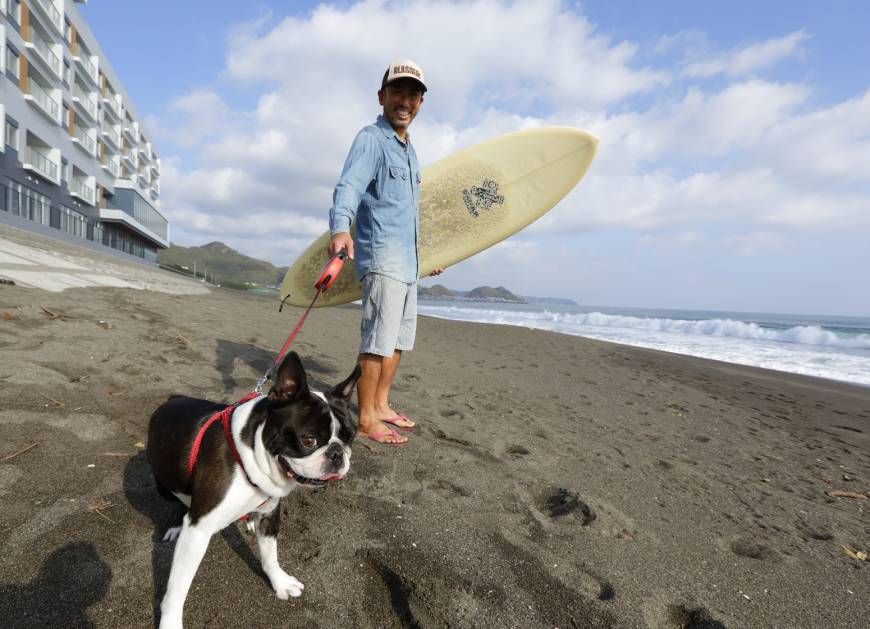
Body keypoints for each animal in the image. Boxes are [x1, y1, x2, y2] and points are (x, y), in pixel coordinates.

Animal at [148, 350, 360, 624]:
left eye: (351, 437)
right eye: (308, 440)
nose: (337, 454)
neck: (255, 451)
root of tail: (173, 399)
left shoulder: (270, 514)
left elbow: (270, 555)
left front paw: (279, 582)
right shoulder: (198, 530)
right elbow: (178, 586)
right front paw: (171, 621)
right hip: (163, 482)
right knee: (178, 499)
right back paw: (176, 524)